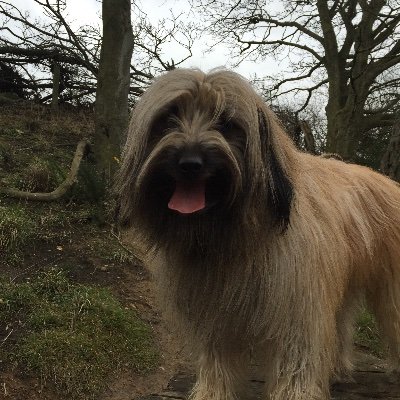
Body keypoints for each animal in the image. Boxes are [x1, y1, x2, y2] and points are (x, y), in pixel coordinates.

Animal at [115, 67, 400, 398]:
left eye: (226, 123)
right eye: (168, 118)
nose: (189, 163)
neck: (233, 237)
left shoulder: (298, 307)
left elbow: (297, 359)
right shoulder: (215, 313)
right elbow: (216, 361)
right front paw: (213, 393)